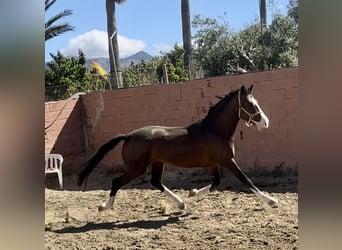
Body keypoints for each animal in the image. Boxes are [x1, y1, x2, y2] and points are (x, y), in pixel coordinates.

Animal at [78, 85, 278, 212]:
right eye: (251, 104)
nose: (266, 123)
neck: (214, 130)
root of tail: (129, 135)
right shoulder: (227, 161)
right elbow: (246, 180)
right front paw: (271, 201)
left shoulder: (215, 164)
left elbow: (216, 183)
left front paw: (192, 193)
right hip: (137, 168)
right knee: (116, 182)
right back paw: (104, 206)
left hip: (157, 163)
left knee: (156, 182)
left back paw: (181, 203)